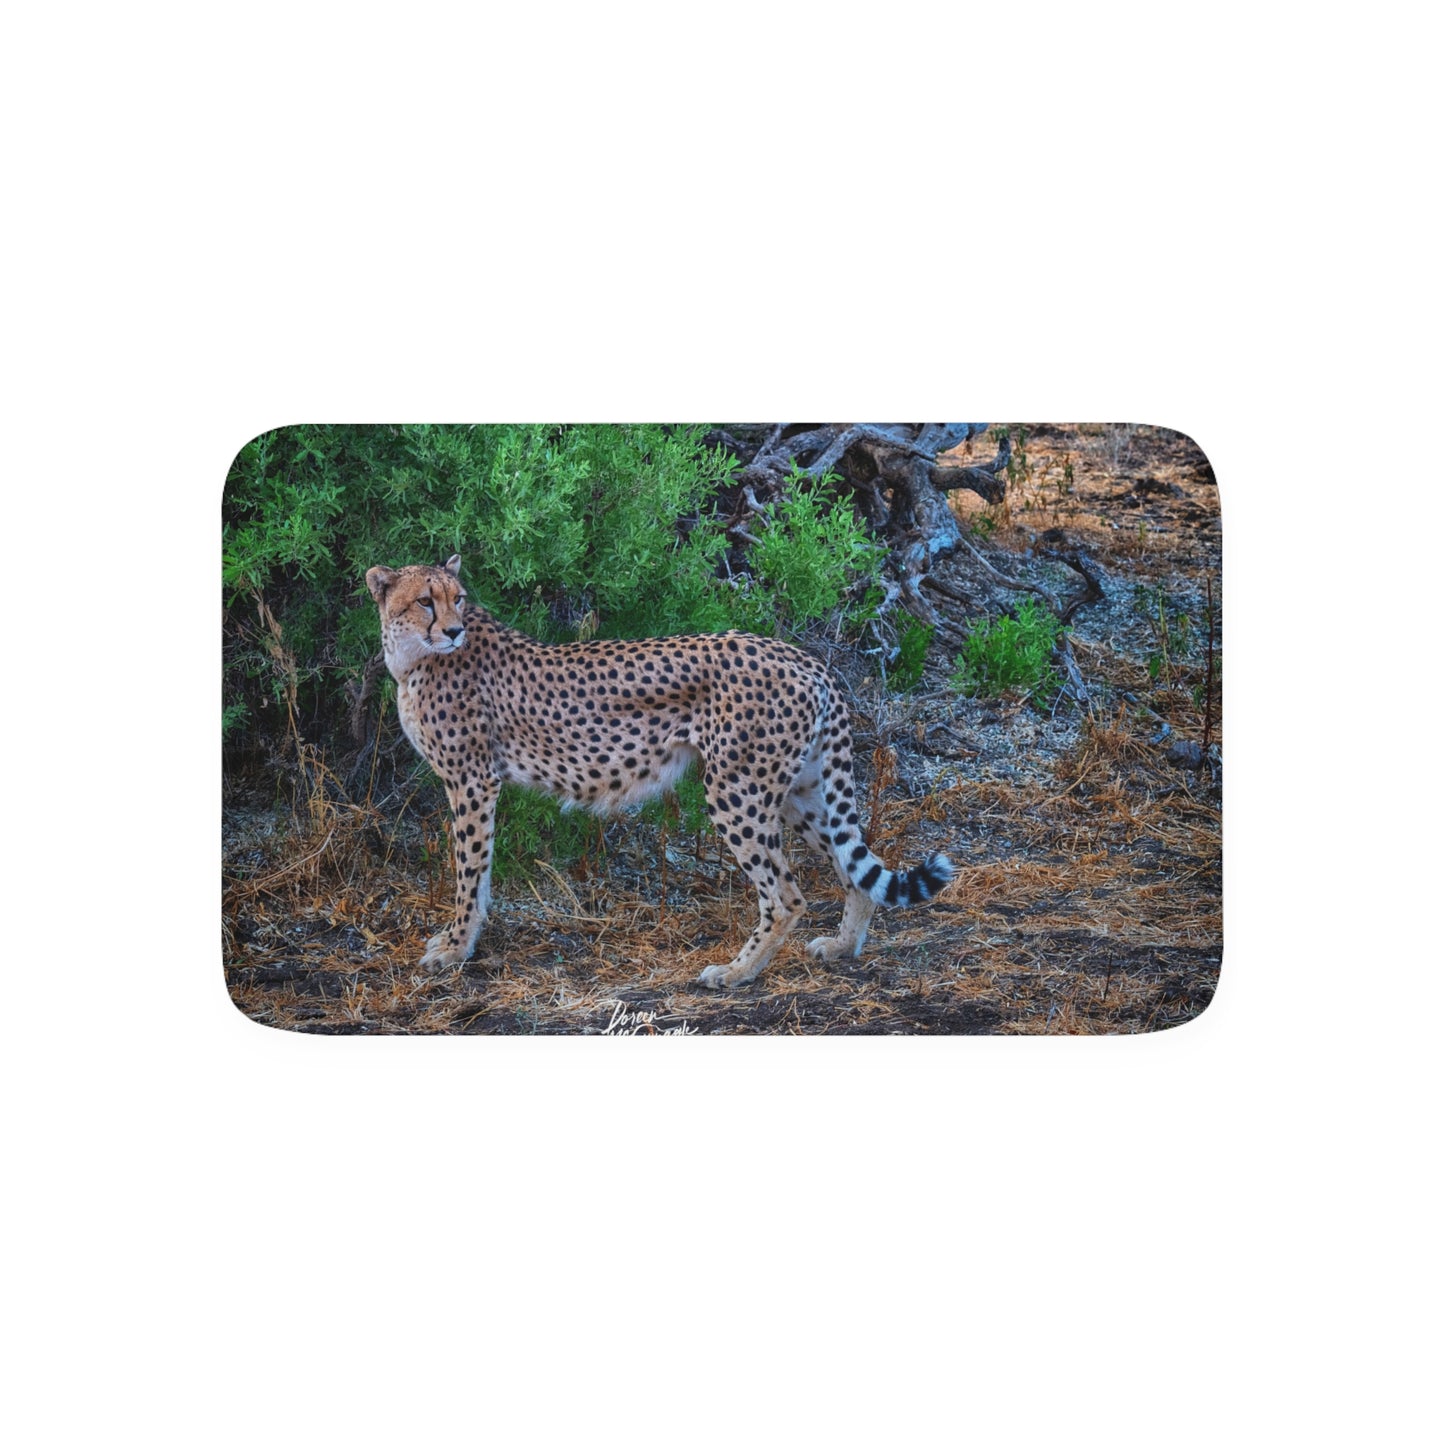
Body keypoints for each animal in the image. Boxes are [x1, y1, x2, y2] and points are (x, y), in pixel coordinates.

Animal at [366, 555, 954, 988]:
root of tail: (800, 655)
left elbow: (469, 869)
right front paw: (463, 941)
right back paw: (842, 946)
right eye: (425, 600)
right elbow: (480, 871)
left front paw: (455, 947)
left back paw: (736, 972)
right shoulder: (476, 782)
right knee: (854, 867)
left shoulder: (471, 780)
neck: (413, 655)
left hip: (736, 789)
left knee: (786, 895)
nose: (454, 630)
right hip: (799, 790)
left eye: (458, 598)